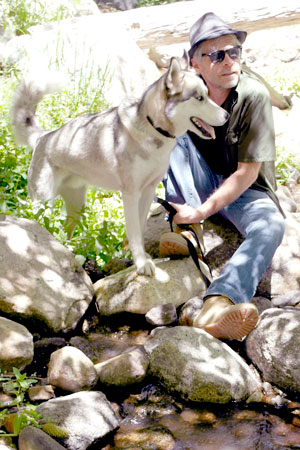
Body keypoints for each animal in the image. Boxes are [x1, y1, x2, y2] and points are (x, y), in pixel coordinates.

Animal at [10, 54, 229, 276]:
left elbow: (140, 228)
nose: (227, 115)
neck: (153, 128)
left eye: (207, 95)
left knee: (65, 230)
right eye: (199, 98)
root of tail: (44, 136)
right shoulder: (130, 194)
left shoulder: (148, 191)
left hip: (76, 207)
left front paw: (141, 258)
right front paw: (141, 263)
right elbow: (134, 232)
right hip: (42, 204)